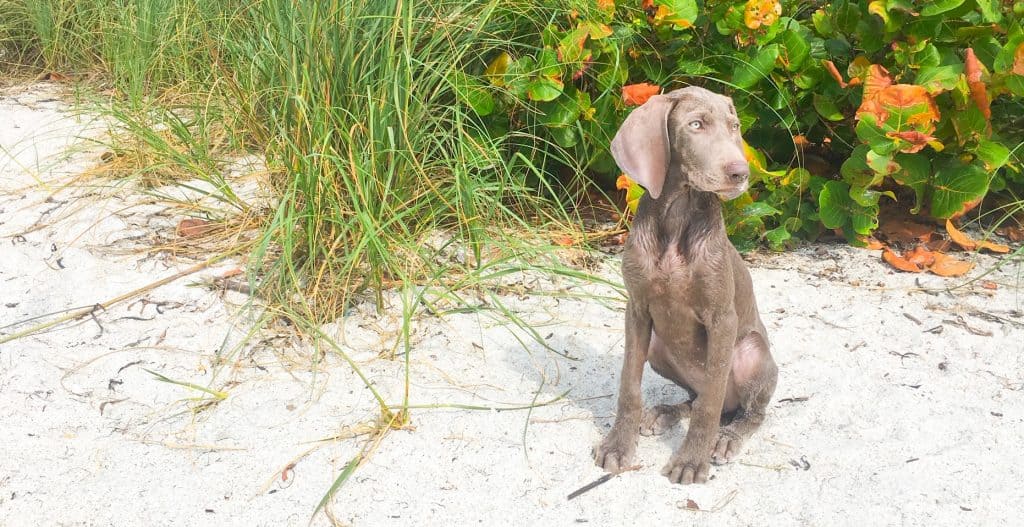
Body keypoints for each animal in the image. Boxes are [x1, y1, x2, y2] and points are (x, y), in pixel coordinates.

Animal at [593, 87, 774, 487]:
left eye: (734, 126)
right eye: (696, 125)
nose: (741, 173)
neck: (678, 214)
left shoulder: (722, 318)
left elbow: (709, 404)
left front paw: (692, 459)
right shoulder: (637, 309)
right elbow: (629, 386)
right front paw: (618, 445)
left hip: (753, 353)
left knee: (744, 410)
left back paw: (727, 437)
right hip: (659, 349)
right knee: (696, 397)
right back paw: (666, 412)